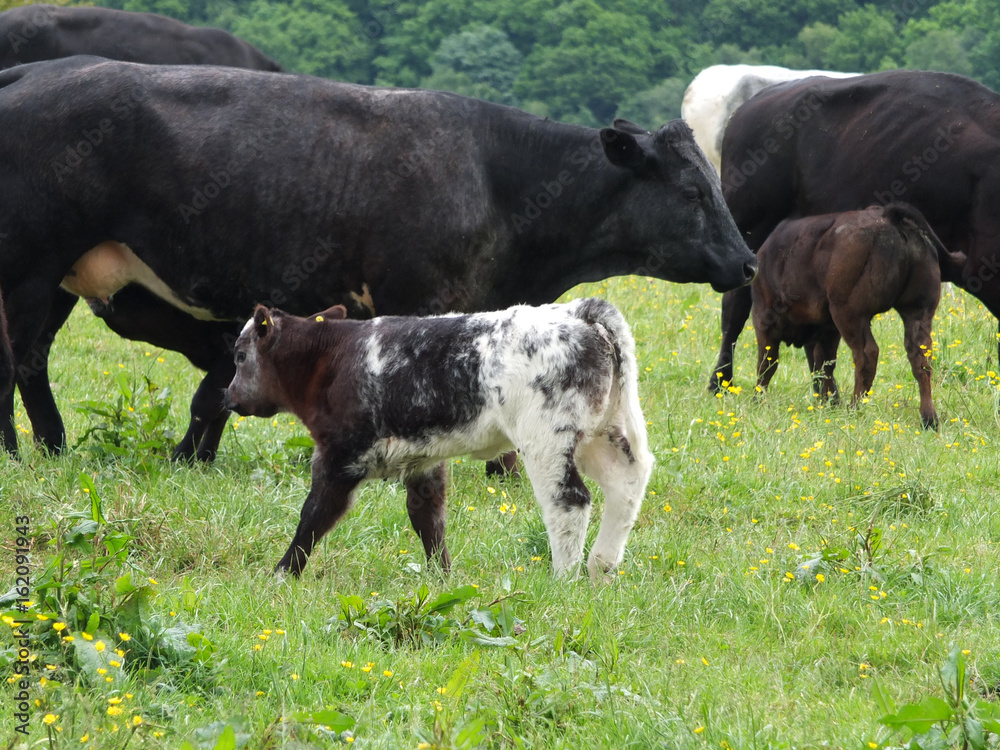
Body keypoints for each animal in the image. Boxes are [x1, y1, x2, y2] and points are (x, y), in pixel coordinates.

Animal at [226, 300, 656, 580]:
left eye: (240, 355)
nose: (229, 397)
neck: (331, 359)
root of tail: (576, 311)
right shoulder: (424, 461)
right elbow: (429, 521)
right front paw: (442, 578)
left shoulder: (339, 455)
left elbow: (314, 516)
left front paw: (282, 574)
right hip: (603, 433)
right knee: (627, 485)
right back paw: (601, 567)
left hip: (546, 441)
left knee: (569, 501)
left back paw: (564, 580)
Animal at [752, 203, 956, 432]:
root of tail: (888, 216)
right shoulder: (828, 331)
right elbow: (824, 364)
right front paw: (829, 403)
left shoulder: (763, 321)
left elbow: (767, 364)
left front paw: (757, 400)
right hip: (917, 312)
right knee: (921, 359)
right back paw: (929, 418)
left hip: (850, 314)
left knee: (867, 354)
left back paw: (854, 407)